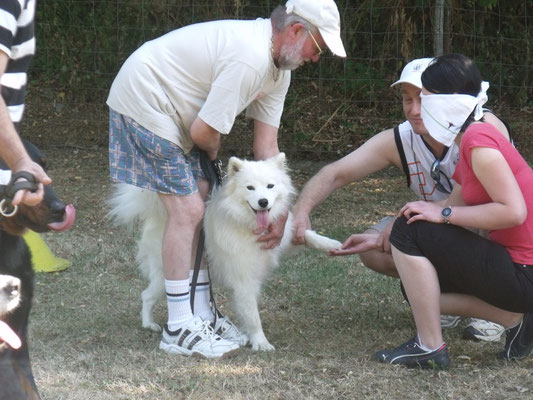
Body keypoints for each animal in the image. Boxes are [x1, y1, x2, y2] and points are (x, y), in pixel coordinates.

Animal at [108, 153, 340, 350]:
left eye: (270, 186)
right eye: (250, 188)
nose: (263, 202)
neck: (248, 225)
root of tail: (159, 218)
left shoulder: (279, 240)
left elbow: (306, 234)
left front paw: (332, 244)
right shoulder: (244, 281)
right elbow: (253, 316)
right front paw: (261, 342)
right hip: (166, 276)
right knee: (147, 296)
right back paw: (149, 323)